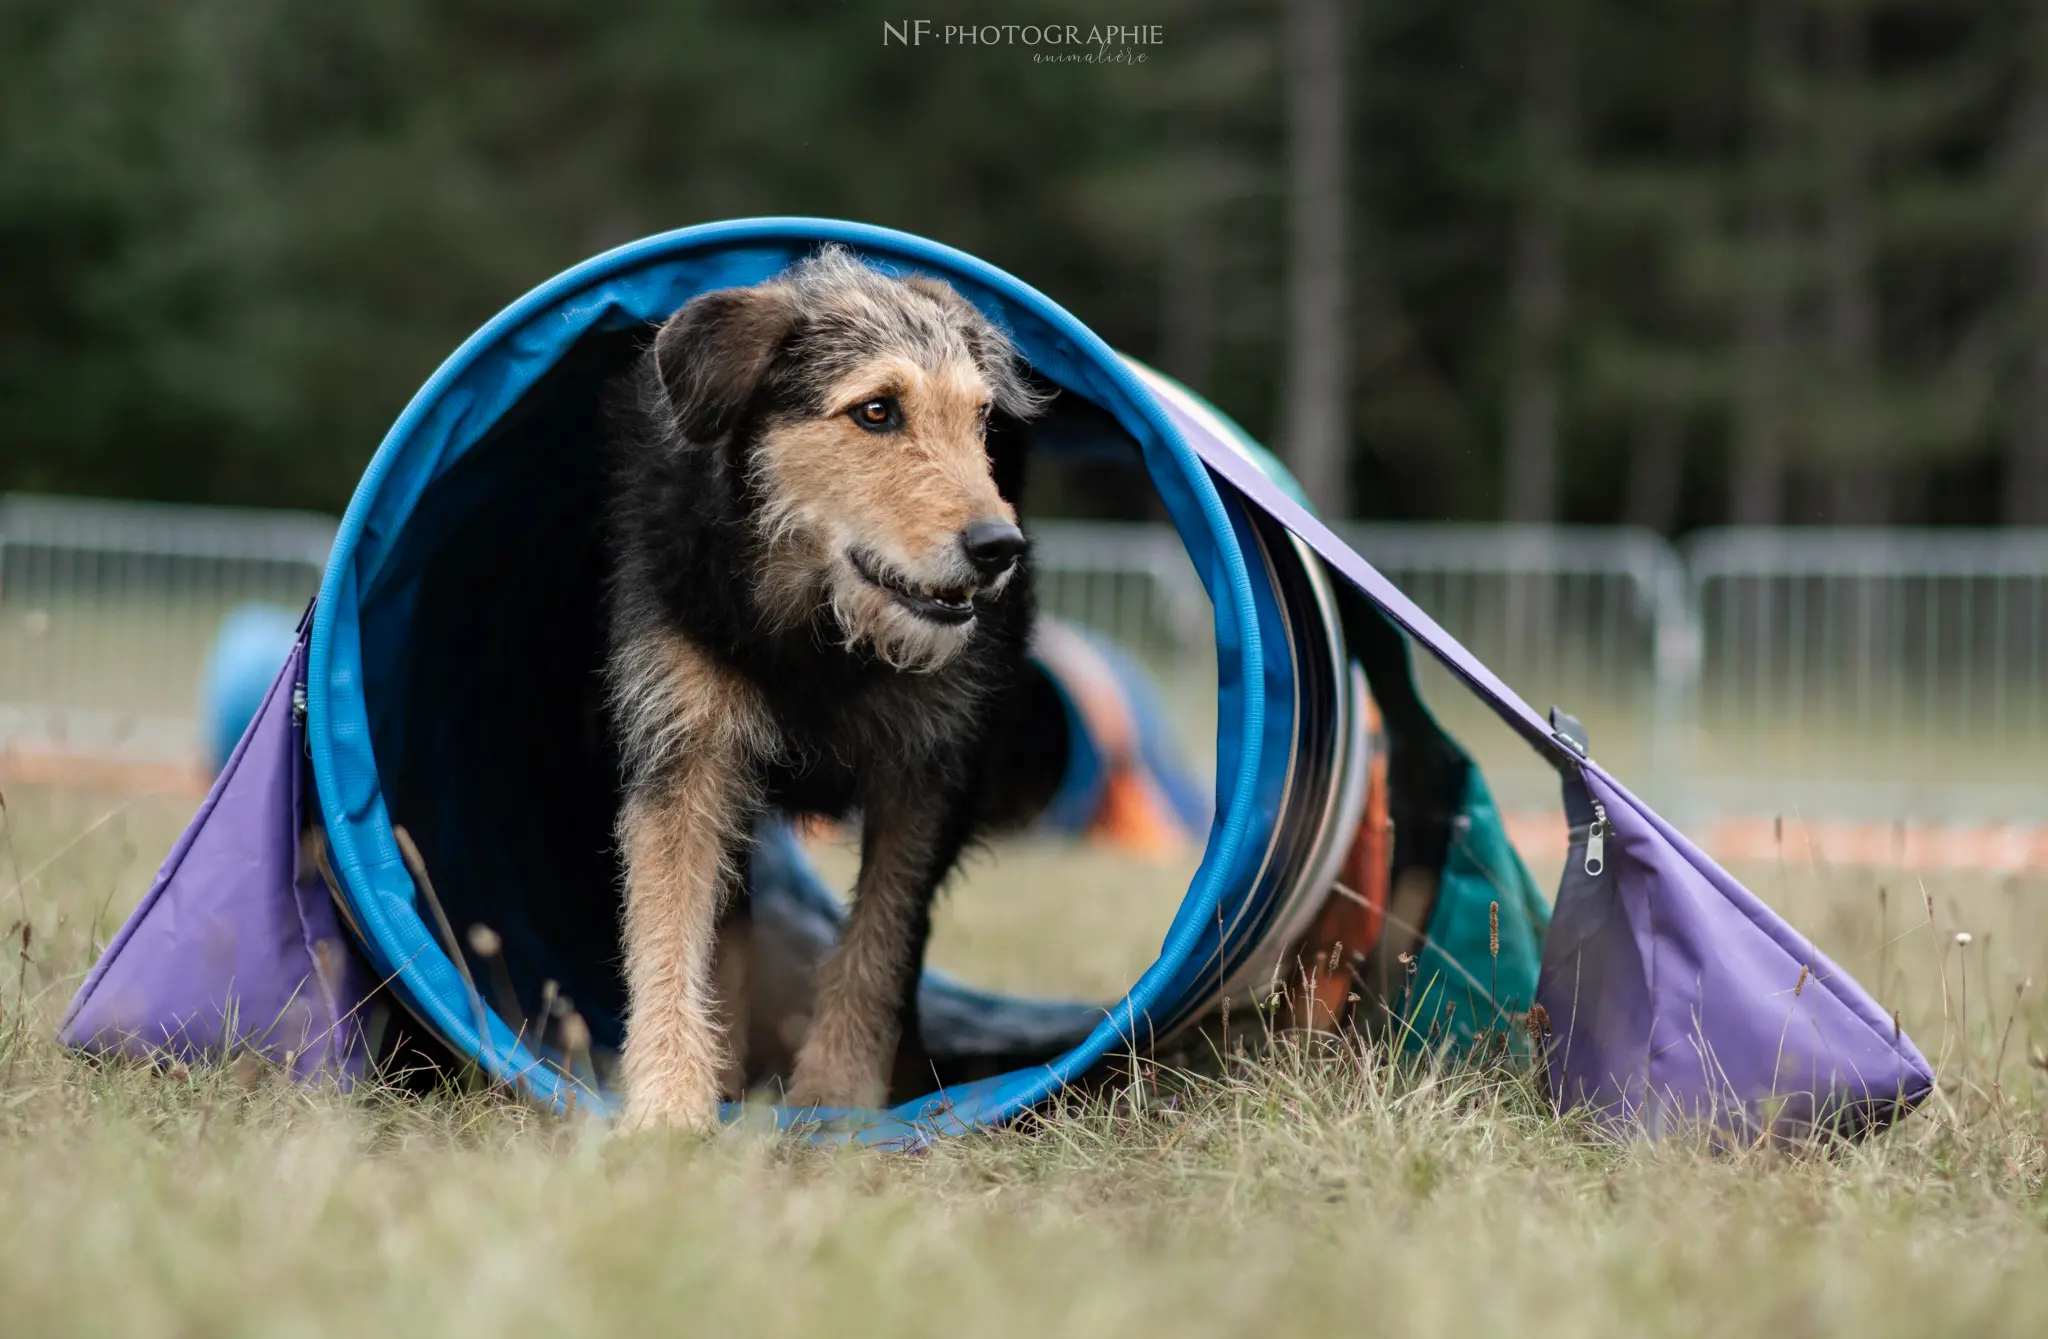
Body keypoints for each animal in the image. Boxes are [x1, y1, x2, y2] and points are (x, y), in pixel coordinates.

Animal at [593, 243, 1040, 1130]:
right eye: (875, 411)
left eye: (979, 420)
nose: (999, 548)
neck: (820, 627)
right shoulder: (686, 750)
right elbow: (668, 925)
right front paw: (668, 1101)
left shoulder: (926, 774)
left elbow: (880, 936)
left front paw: (837, 1094)